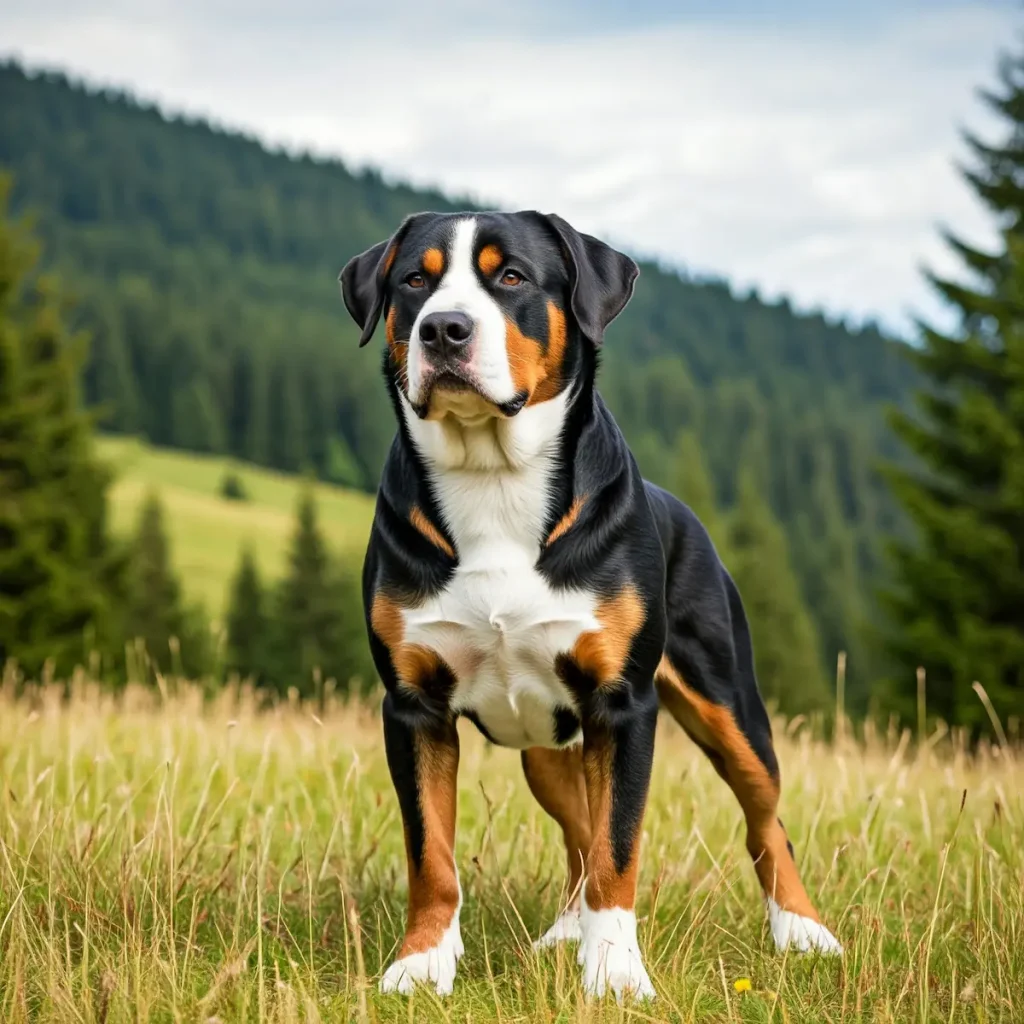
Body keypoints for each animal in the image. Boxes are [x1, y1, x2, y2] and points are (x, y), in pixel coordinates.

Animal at [339, 209, 843, 999]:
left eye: (512, 276)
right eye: (414, 281)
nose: (444, 329)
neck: (493, 481)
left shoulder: (623, 704)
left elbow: (618, 849)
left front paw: (614, 974)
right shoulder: (413, 706)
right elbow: (433, 854)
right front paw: (421, 962)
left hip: (729, 707)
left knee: (765, 822)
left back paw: (803, 931)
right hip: (547, 748)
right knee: (577, 826)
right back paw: (563, 932)